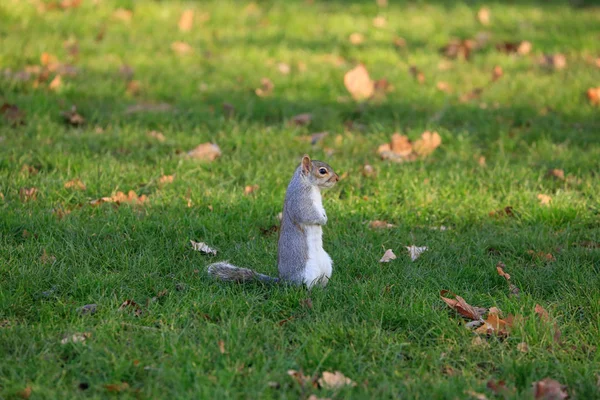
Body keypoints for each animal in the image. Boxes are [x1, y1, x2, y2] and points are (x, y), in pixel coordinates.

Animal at [205, 153, 338, 288]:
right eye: (322, 171)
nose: (337, 178)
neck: (308, 183)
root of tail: (284, 281)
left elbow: (321, 211)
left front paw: (325, 217)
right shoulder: (300, 200)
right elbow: (308, 215)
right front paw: (322, 220)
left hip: (327, 266)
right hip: (308, 272)